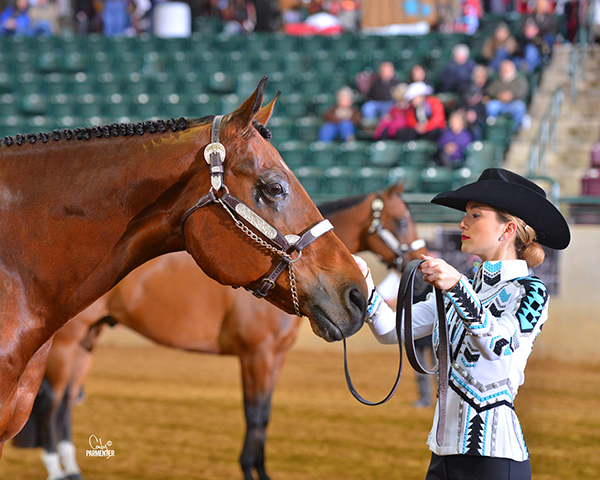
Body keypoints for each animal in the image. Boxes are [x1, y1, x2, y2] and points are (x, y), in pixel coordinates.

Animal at [14, 185, 426, 480]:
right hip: (67, 343)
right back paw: (55, 468)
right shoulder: (256, 356)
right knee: (51, 399)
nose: (419, 265)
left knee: (67, 401)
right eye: (402, 221)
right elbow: (254, 414)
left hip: (88, 340)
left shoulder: (275, 359)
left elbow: (265, 415)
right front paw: (250, 471)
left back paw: (72, 468)